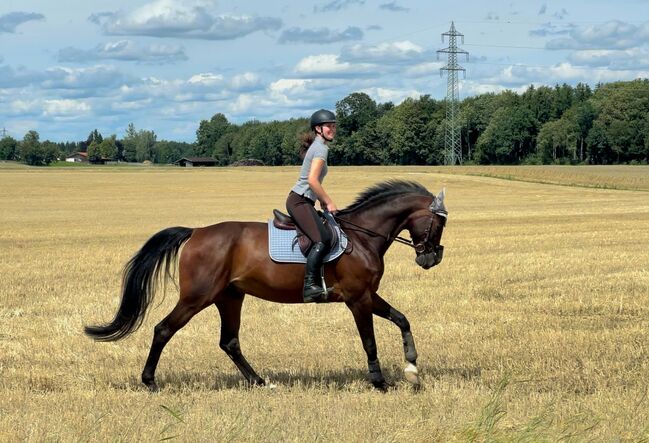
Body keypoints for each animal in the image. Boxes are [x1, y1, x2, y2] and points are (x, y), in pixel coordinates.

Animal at [85, 180, 446, 392]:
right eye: (439, 223)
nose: (430, 259)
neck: (363, 236)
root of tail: (196, 232)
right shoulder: (358, 299)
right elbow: (369, 342)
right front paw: (380, 382)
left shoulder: (369, 295)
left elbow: (402, 319)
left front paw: (412, 369)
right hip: (197, 296)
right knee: (163, 329)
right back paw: (149, 381)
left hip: (229, 297)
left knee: (229, 341)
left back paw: (259, 381)